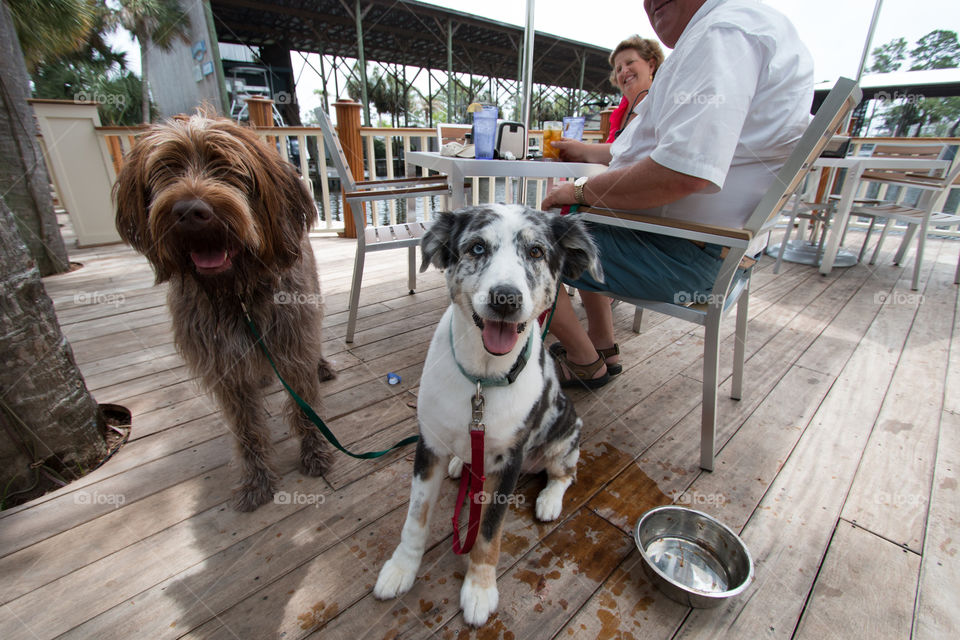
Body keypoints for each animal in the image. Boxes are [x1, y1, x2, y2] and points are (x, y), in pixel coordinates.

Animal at [114, 115, 334, 512]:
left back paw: (320, 365)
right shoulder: (224, 368)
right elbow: (247, 429)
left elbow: (303, 404)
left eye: (228, 168)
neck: (237, 294)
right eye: (166, 168)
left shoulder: (292, 344)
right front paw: (256, 479)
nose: (189, 212)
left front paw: (315, 451)